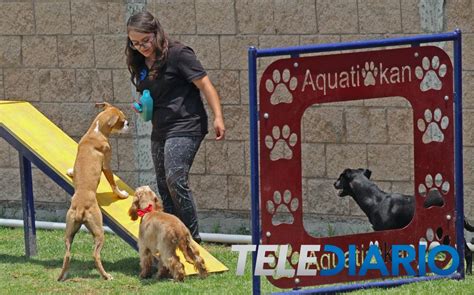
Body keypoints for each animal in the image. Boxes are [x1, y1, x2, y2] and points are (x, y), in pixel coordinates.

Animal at [57, 103, 130, 282]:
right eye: (122, 120)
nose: (129, 123)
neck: (96, 132)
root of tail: (80, 208)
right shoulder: (107, 165)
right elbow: (113, 183)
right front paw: (122, 194)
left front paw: (71, 171)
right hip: (99, 231)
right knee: (95, 255)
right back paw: (106, 276)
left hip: (69, 232)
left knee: (67, 254)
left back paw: (63, 275)